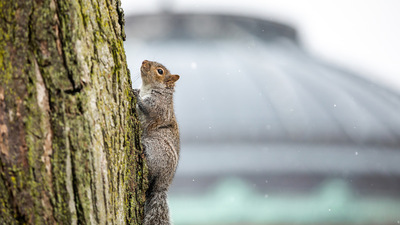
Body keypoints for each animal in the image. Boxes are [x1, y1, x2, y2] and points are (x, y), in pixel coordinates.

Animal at [133, 59, 180, 225]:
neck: (147, 87)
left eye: (160, 71)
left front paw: (136, 96)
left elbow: (148, 108)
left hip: (155, 146)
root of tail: (163, 183)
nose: (144, 61)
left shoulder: (159, 106)